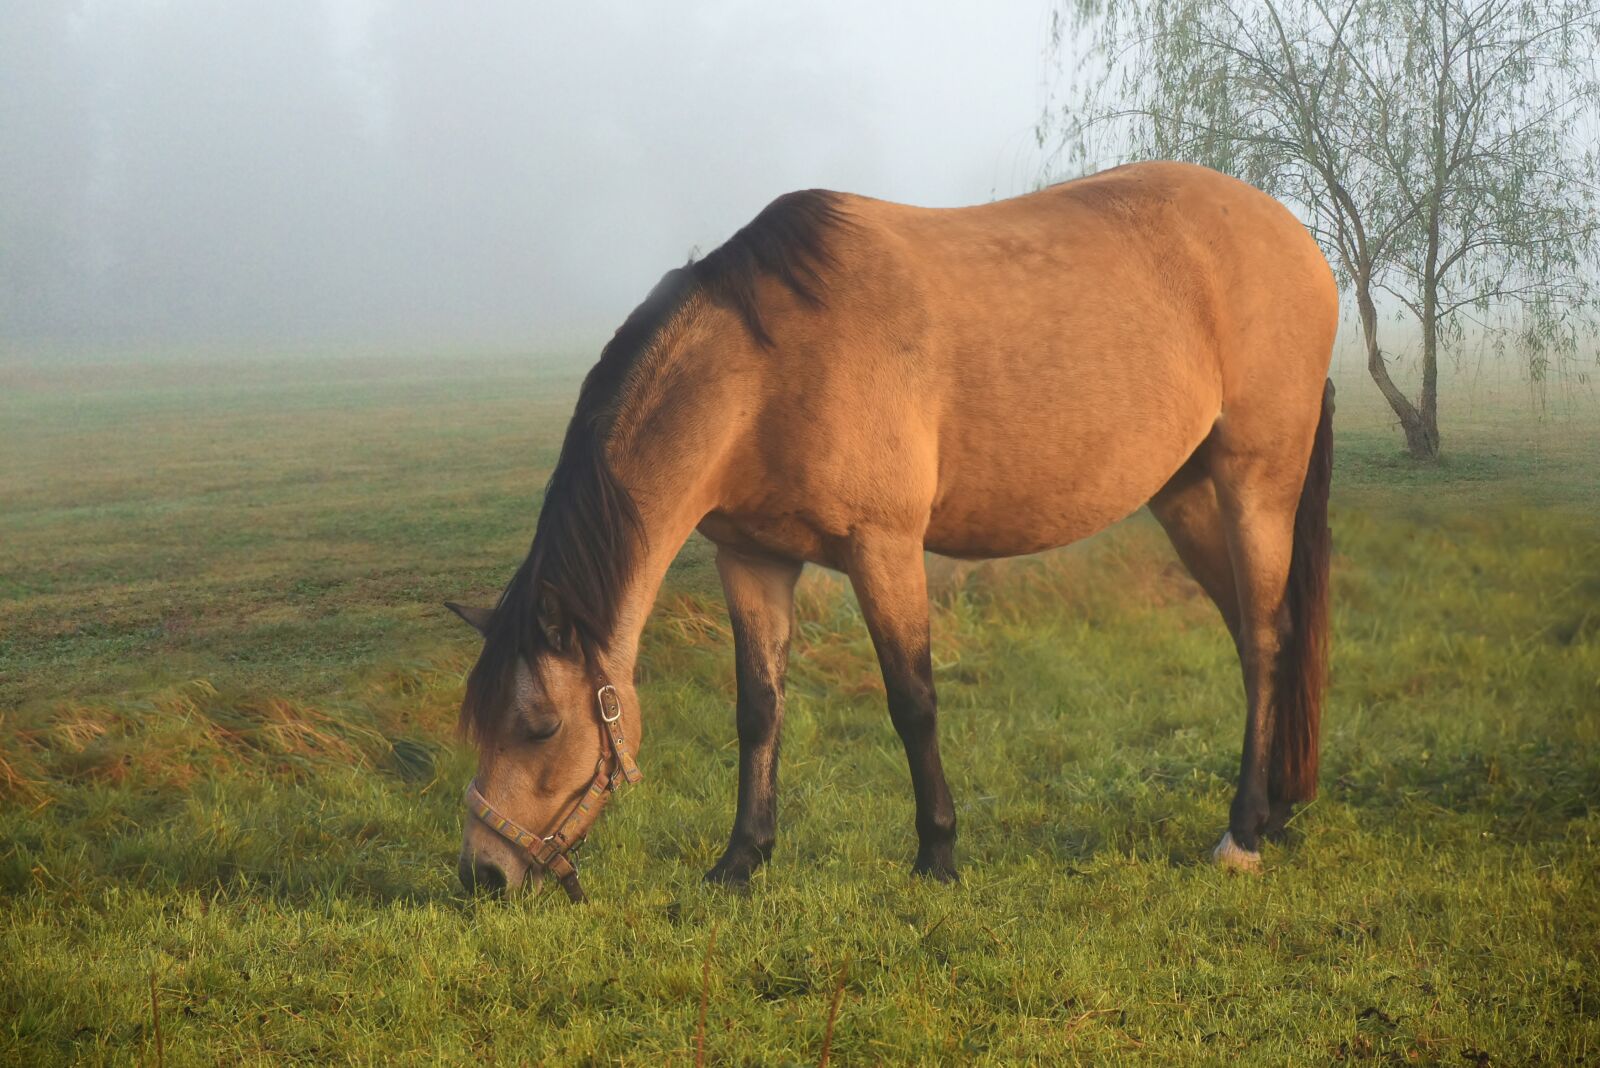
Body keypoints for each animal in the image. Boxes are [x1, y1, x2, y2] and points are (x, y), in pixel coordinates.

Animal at [447, 161, 1336, 900]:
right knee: (1252, 635)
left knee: (1265, 639)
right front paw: (741, 860)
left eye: (541, 727)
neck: (767, 371)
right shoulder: (752, 559)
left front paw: (937, 855)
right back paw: (1273, 809)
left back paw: (1243, 834)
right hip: (1184, 495)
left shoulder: (884, 548)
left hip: (1255, 482)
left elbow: (913, 701)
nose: (483, 874)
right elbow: (758, 709)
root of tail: (1298, 239)